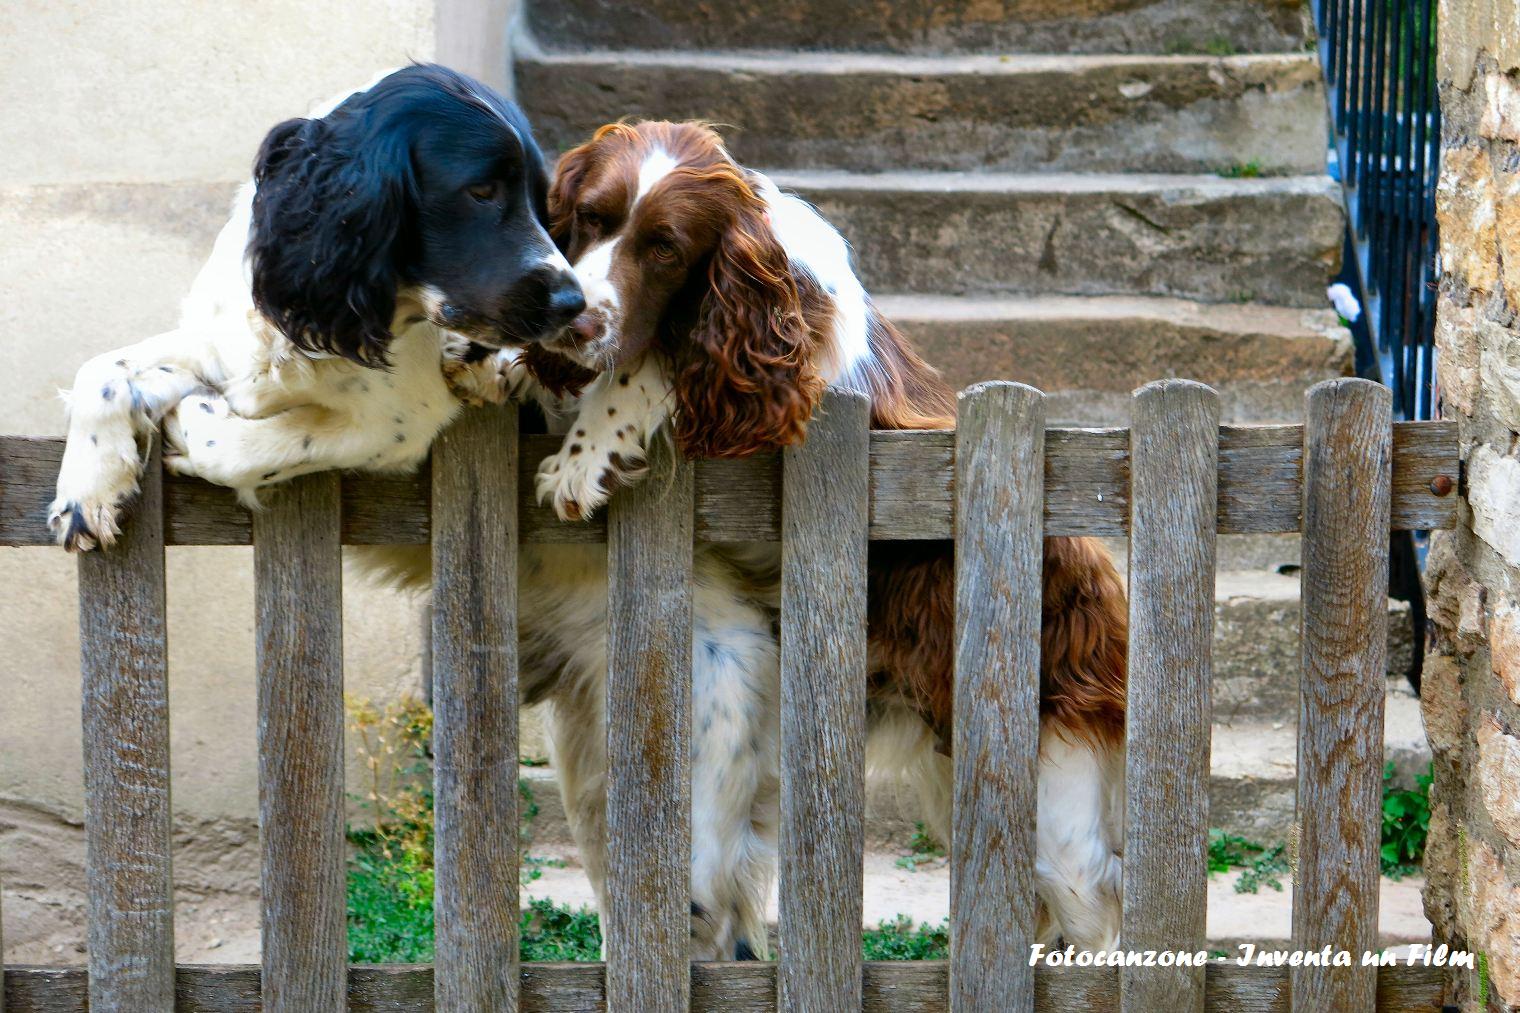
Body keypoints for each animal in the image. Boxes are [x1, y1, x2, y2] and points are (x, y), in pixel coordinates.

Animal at [45, 65, 580, 544]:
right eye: (481, 191)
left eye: (540, 201)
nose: (573, 303)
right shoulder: (220, 345)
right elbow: (99, 370)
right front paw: (88, 492)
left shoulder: (400, 421)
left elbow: (252, 448)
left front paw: (192, 418)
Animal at [528, 122, 1136, 949]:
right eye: (590, 217)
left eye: (666, 250)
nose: (577, 321)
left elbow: (664, 368)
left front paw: (584, 454)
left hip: (1056, 802)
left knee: (1097, 911)